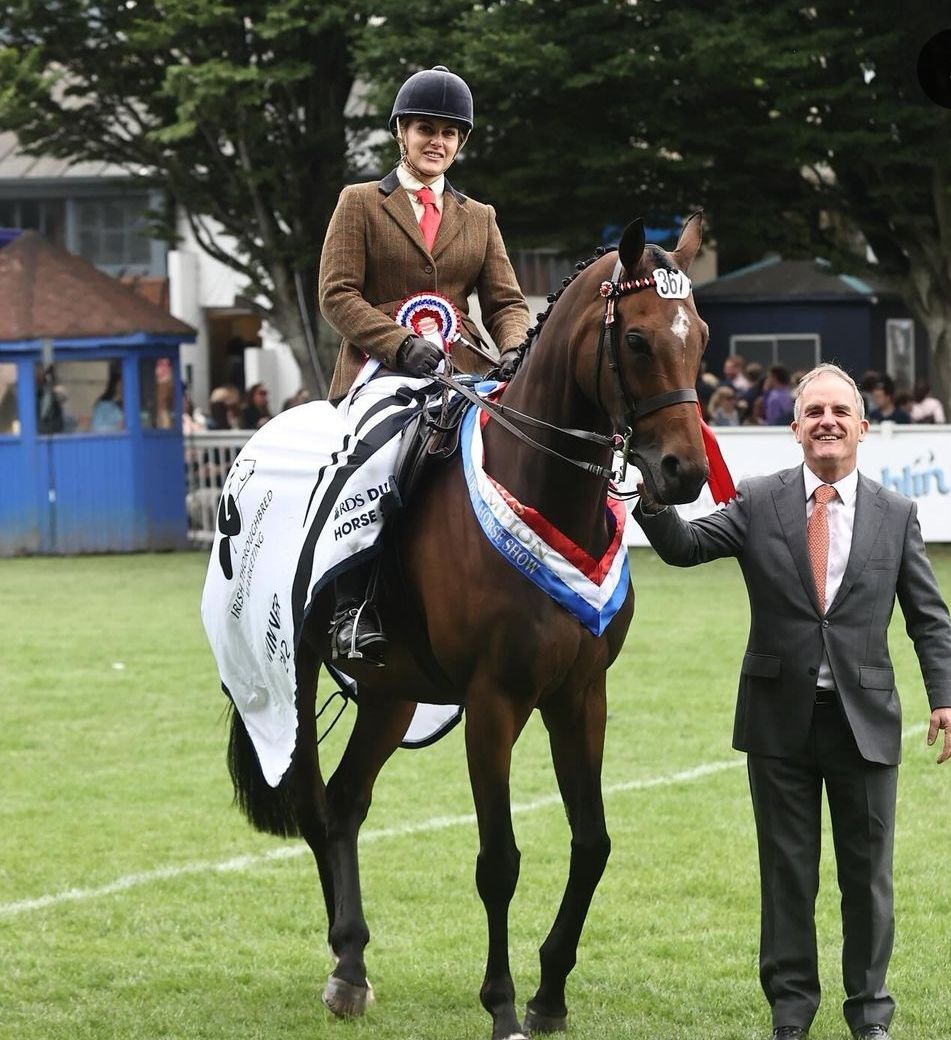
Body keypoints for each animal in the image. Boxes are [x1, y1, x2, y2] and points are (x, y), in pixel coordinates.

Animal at [225, 213, 707, 1040]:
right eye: (639, 339)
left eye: (700, 334)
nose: (684, 472)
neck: (539, 484)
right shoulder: (494, 702)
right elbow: (498, 861)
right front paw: (504, 1004)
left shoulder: (580, 695)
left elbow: (592, 841)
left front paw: (550, 995)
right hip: (292, 673)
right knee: (319, 805)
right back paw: (344, 966)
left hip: (390, 693)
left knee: (345, 803)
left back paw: (349, 962)